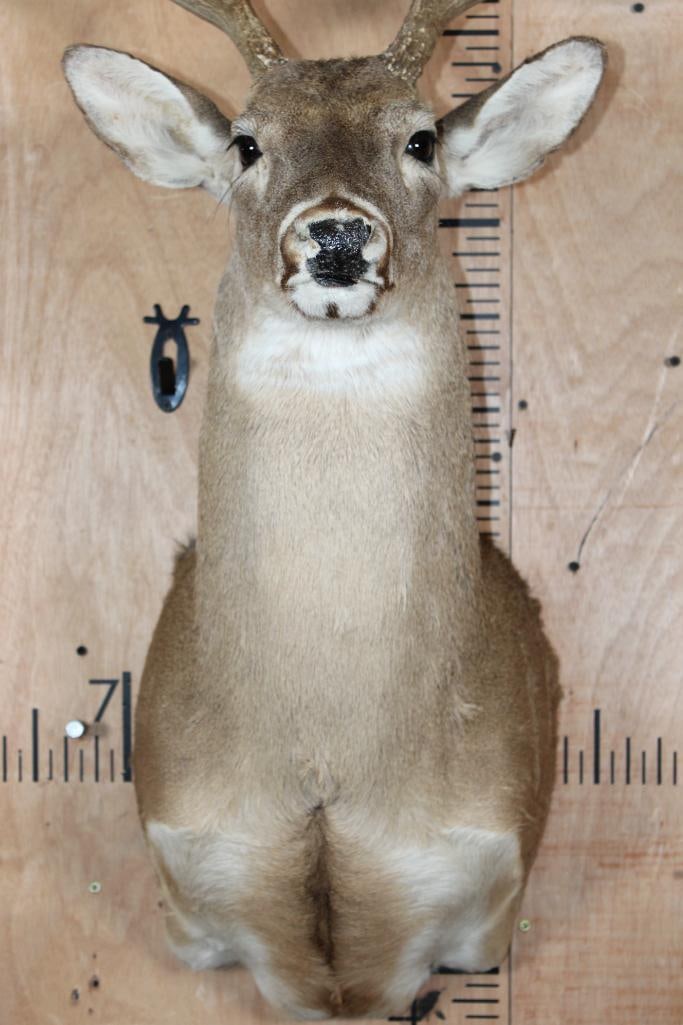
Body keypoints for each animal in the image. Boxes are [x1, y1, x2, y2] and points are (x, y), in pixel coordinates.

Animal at [62, 1, 605, 1019]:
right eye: (246, 142)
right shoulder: (188, 900)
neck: (329, 760)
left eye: (419, 136)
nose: (337, 236)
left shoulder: (485, 903)